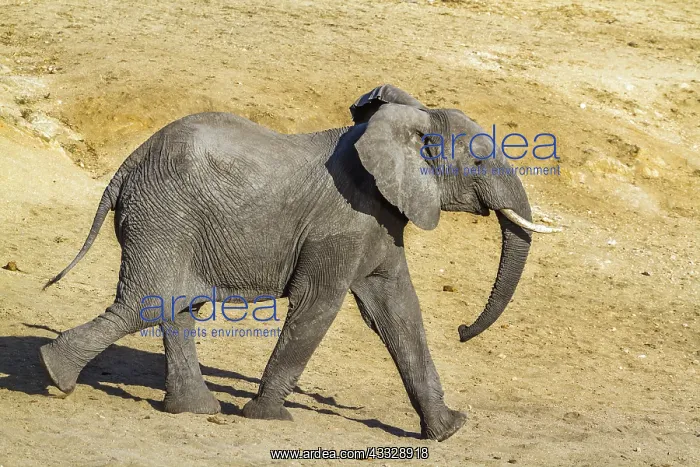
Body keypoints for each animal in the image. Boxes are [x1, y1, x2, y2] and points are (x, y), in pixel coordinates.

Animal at [39, 84, 560, 442]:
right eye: (480, 161)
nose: (463, 330)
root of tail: (128, 164)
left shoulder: (378, 220)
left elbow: (398, 312)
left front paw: (449, 430)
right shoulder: (343, 222)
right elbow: (319, 306)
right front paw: (267, 417)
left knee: (174, 306)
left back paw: (194, 410)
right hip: (163, 215)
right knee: (147, 303)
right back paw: (54, 373)